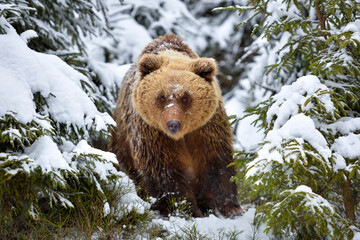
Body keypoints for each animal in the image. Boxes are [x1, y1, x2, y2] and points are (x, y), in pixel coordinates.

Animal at [109, 33, 243, 218]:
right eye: (161, 97)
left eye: (186, 97)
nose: (173, 124)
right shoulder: (152, 132)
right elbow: (165, 170)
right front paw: (186, 209)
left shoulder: (207, 128)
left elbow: (217, 162)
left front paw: (230, 207)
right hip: (122, 145)